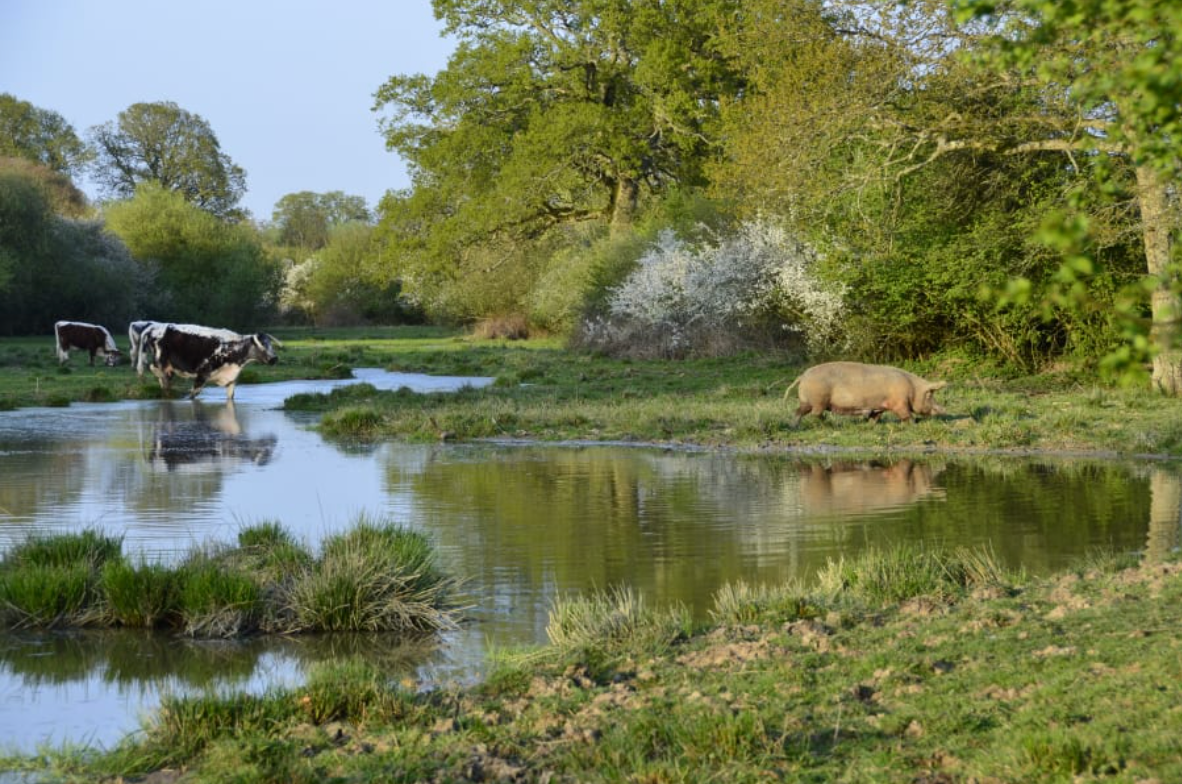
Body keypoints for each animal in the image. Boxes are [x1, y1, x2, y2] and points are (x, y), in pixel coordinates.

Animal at [151, 321, 280, 402]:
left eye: (270, 344)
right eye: (261, 345)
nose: (274, 359)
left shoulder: (231, 380)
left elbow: (230, 398)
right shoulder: (202, 375)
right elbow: (192, 395)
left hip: (169, 371)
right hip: (161, 366)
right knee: (159, 377)